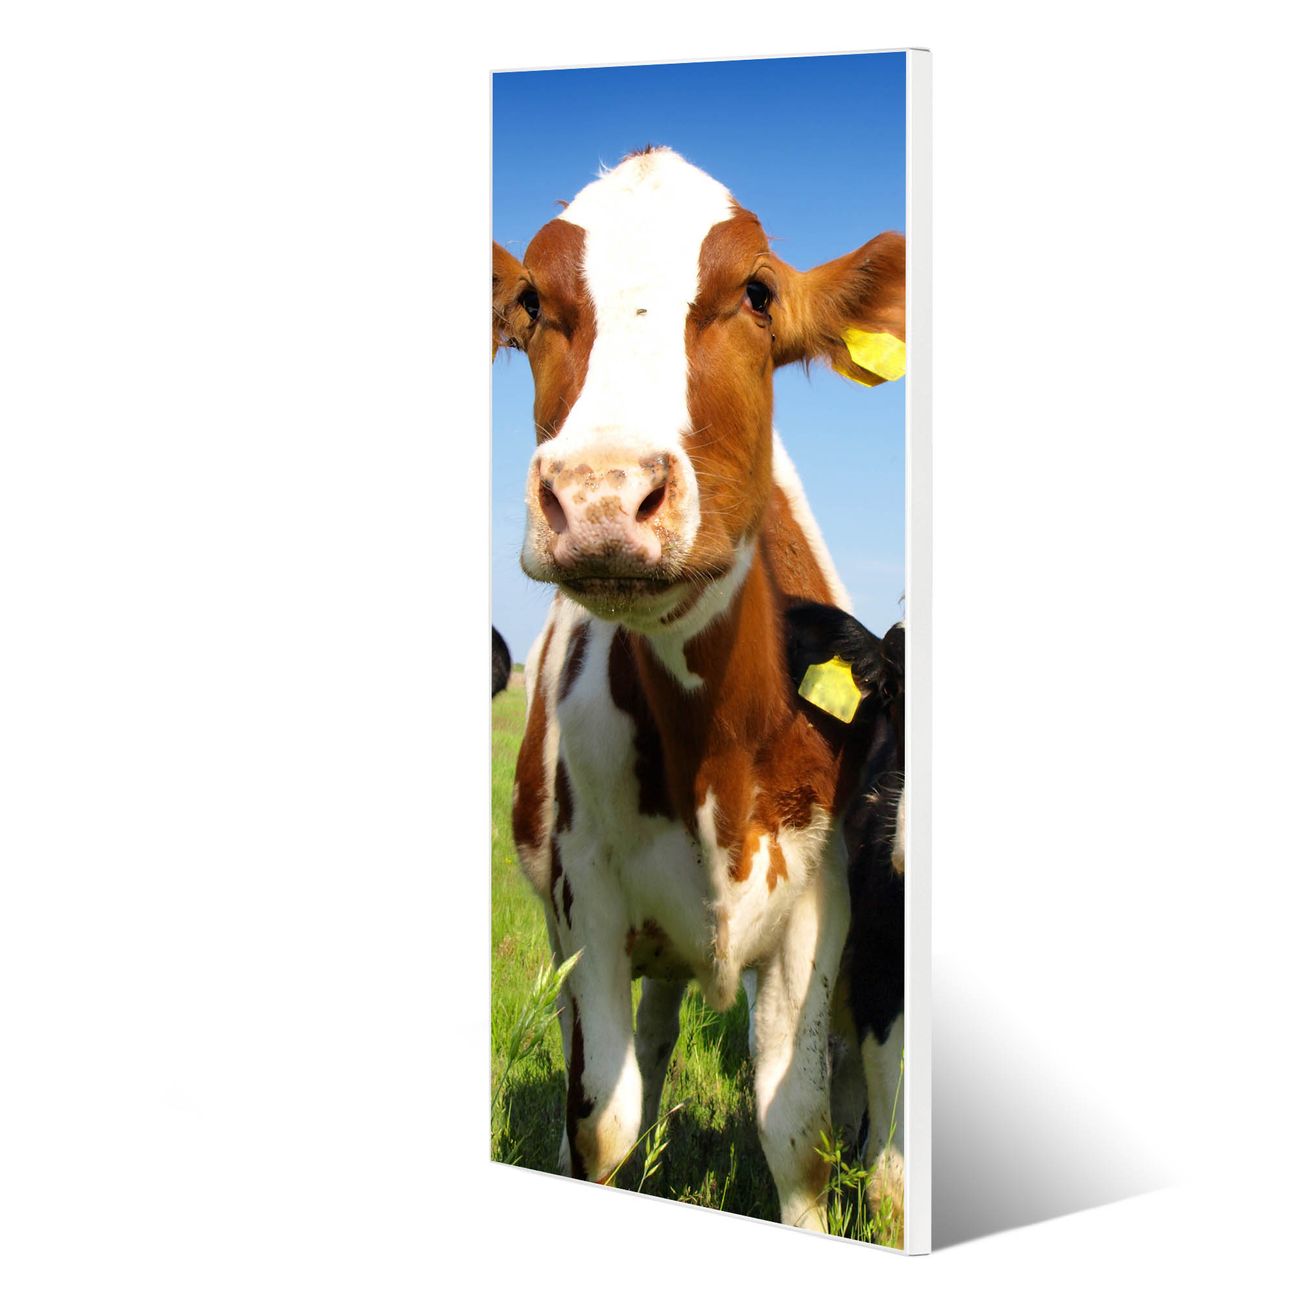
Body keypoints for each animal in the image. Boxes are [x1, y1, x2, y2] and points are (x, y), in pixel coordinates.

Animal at [493, 147, 905, 1233]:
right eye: (529, 303)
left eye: (757, 292)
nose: (599, 495)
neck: (713, 743)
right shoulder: (583, 899)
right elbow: (600, 1118)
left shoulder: (818, 909)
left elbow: (796, 1130)